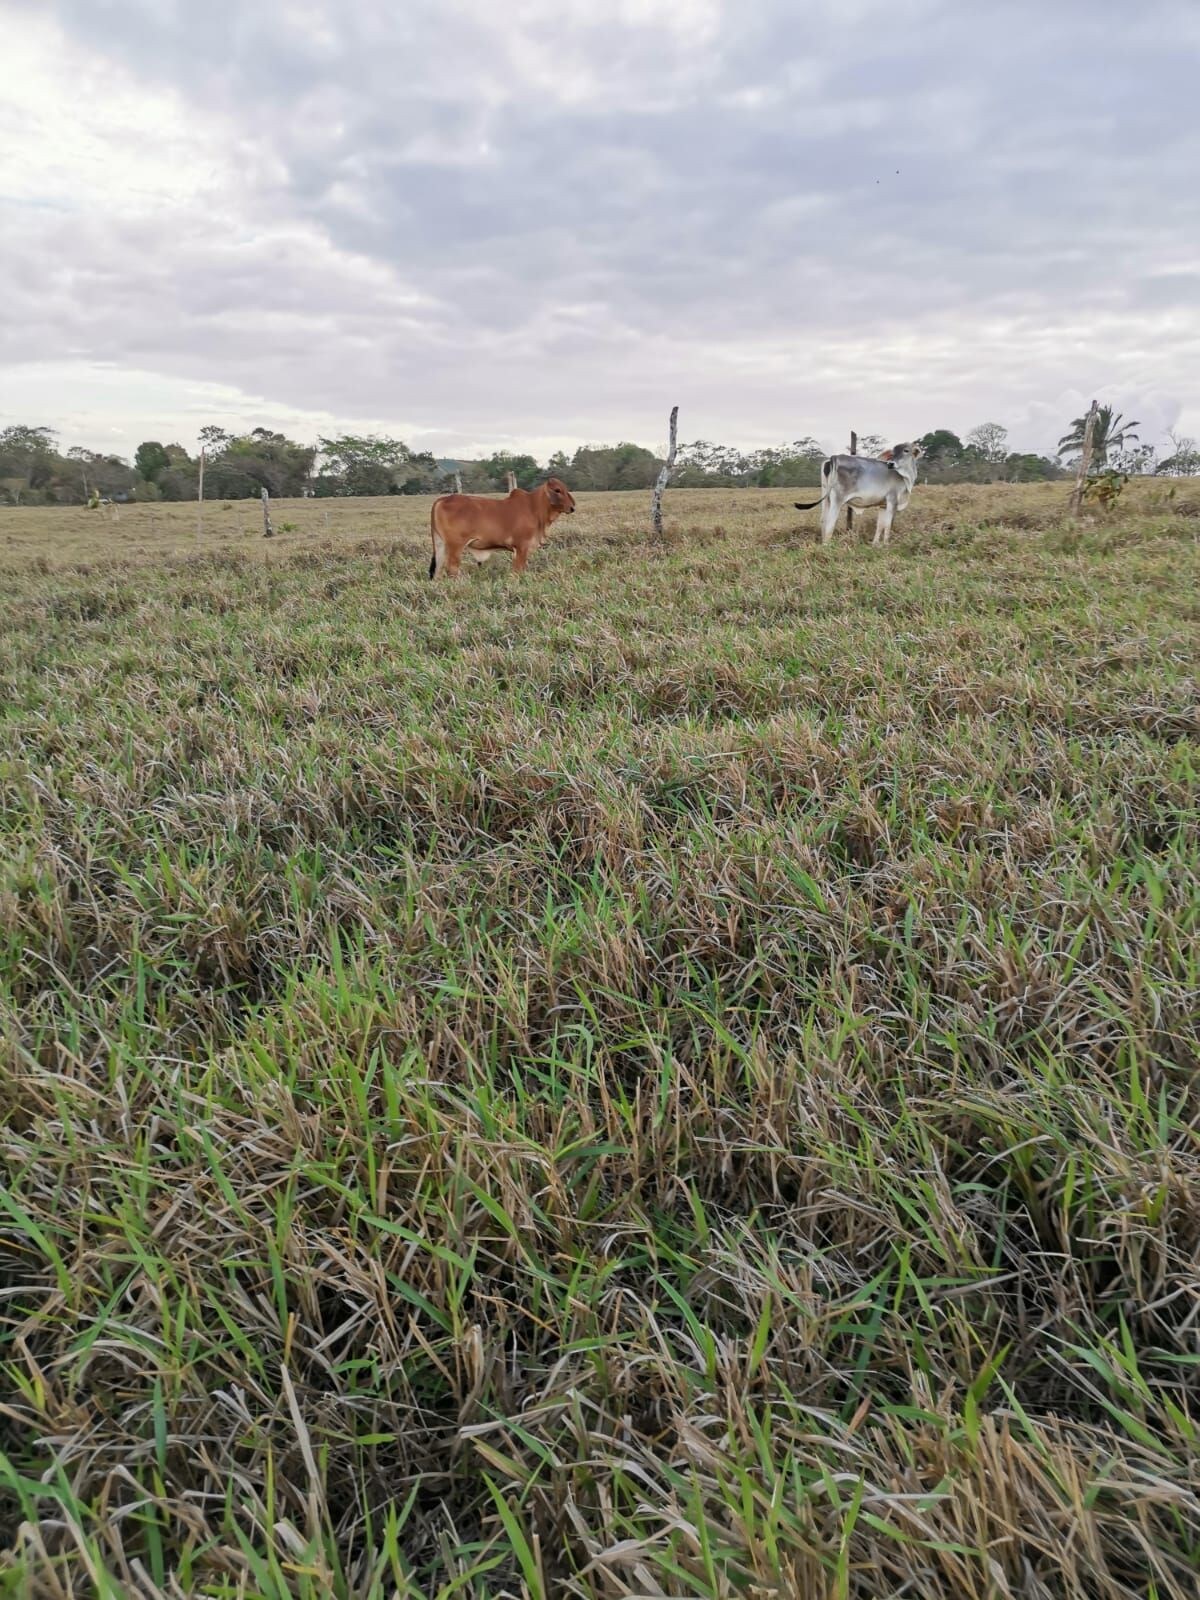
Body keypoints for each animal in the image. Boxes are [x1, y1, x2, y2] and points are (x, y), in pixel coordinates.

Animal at [800, 441, 928, 547]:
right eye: (892, 453)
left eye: (906, 450)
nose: (890, 464)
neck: (904, 477)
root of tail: (835, 457)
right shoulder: (892, 500)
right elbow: (887, 525)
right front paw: (886, 545)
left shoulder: (883, 505)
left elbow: (880, 525)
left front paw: (875, 544)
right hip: (837, 499)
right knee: (830, 521)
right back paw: (827, 545)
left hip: (827, 498)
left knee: (823, 519)